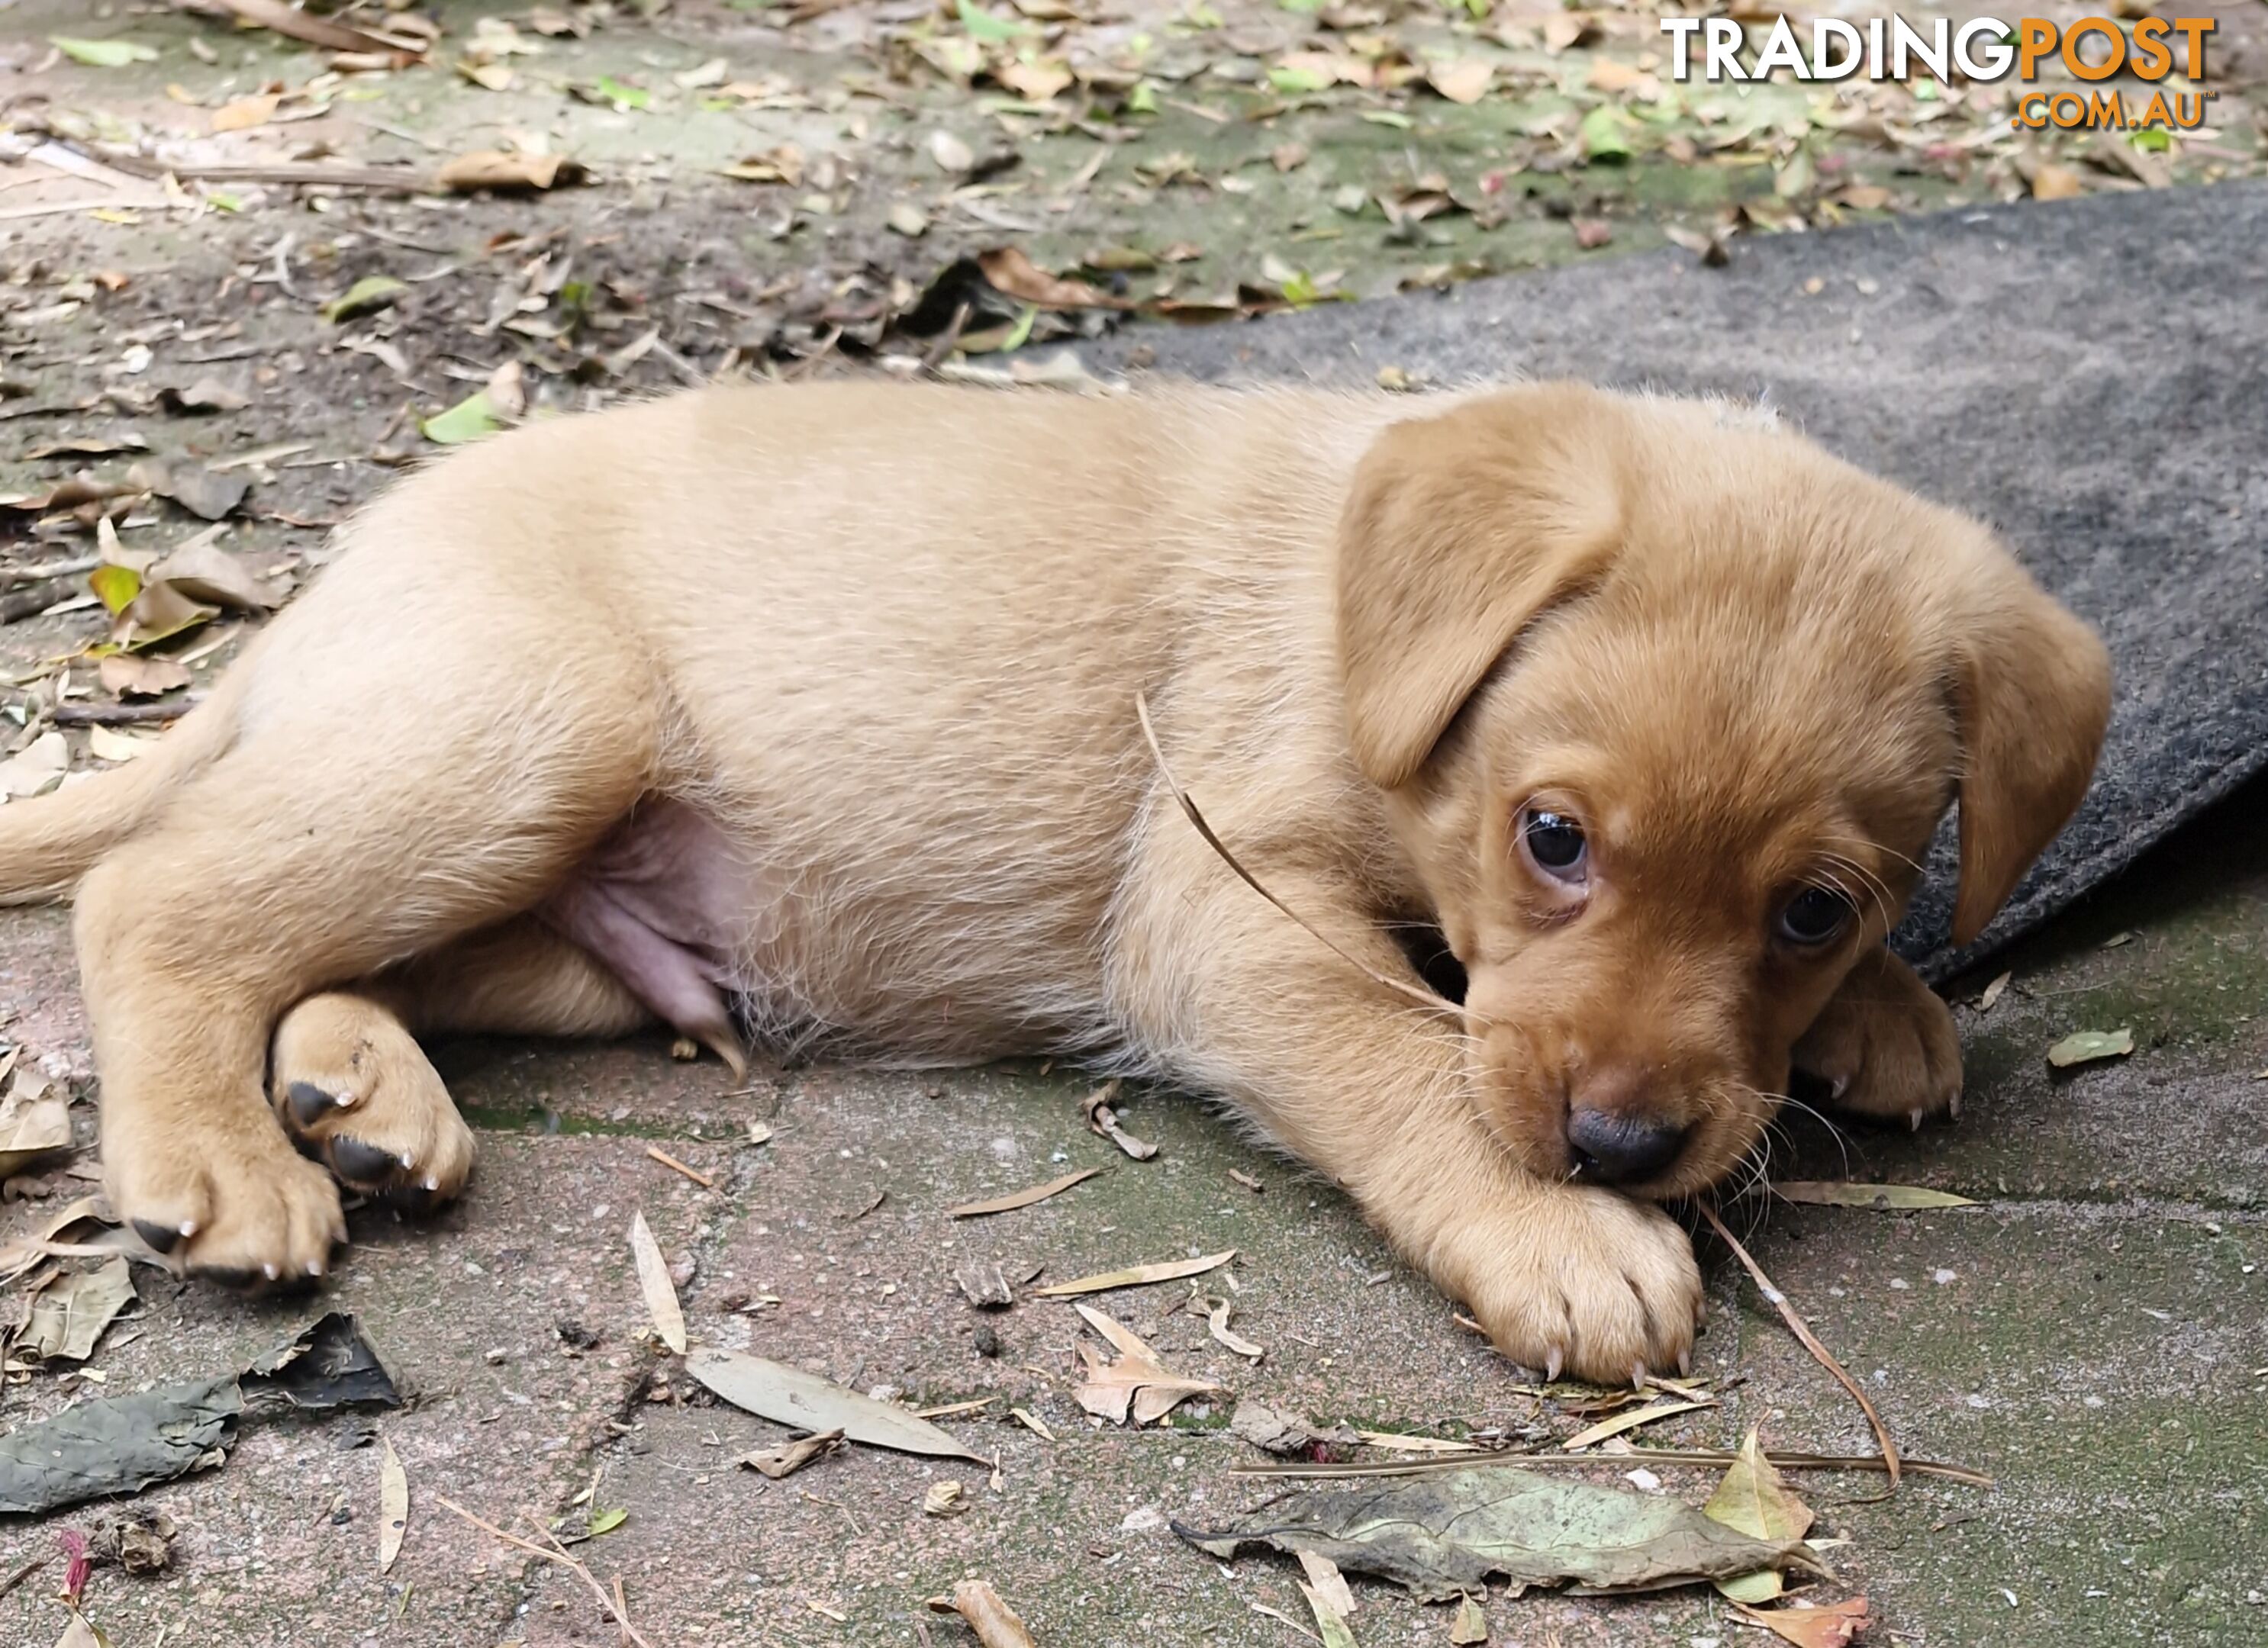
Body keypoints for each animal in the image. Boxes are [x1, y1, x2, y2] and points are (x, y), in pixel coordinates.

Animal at [0, 383, 2105, 1378]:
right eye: (1553, 839)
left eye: (1813, 910)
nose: (1614, 1149)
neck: (1364, 631)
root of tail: (325, 589)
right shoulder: (1211, 904)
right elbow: (1396, 1048)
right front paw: (1556, 1235)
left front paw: (1886, 1014)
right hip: (524, 733)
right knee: (162, 894)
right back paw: (227, 1157)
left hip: (579, 923)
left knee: (326, 939)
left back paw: (356, 1087)